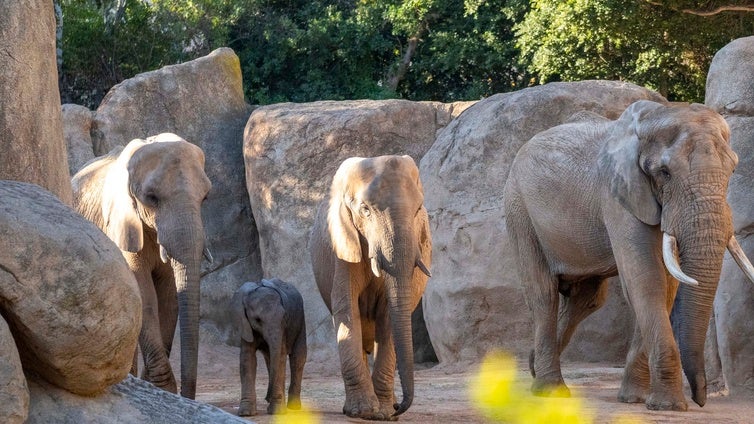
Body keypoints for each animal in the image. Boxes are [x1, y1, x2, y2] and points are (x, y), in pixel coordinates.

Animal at [71, 132, 212, 398]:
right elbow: (145, 297)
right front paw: (162, 389)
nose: (186, 395)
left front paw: (157, 389)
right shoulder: (123, 225)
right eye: (151, 198)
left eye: (206, 197)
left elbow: (169, 298)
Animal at [234, 278, 306, 418]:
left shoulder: (283, 327)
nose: (266, 398)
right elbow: (247, 358)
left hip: (301, 319)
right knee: (270, 359)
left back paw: (293, 407)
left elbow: (281, 356)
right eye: (257, 319)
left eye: (284, 317)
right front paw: (246, 413)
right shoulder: (245, 324)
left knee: (298, 358)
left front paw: (277, 412)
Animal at [308, 154, 432, 420]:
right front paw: (364, 412)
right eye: (365, 211)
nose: (399, 409)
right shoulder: (343, 247)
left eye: (418, 210)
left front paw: (383, 413)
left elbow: (389, 315)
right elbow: (347, 311)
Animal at [502, 100, 754, 410]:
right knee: (544, 294)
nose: (701, 400)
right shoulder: (617, 196)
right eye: (665, 172)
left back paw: (534, 366)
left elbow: (665, 284)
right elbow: (646, 279)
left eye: (732, 170)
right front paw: (669, 406)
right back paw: (551, 391)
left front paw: (633, 400)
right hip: (519, 210)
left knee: (587, 299)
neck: (655, 116)